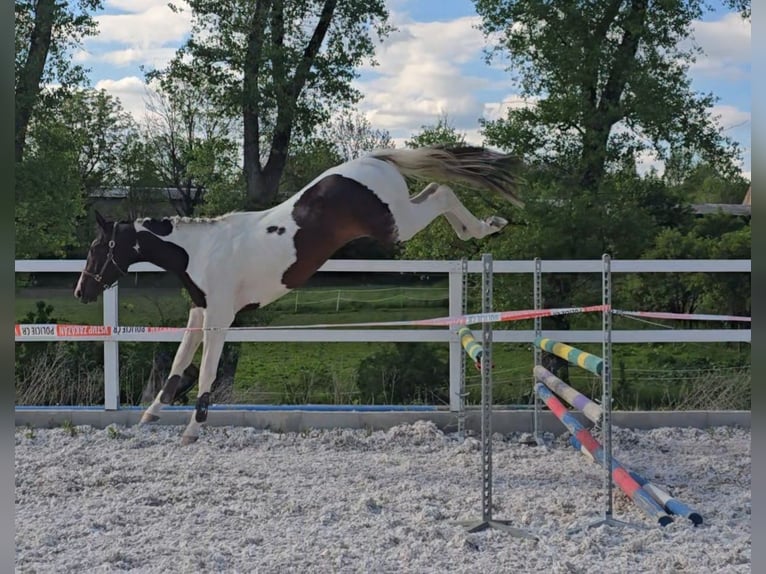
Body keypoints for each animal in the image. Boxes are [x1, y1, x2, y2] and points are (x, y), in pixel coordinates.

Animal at [74, 145, 524, 444]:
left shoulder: (220, 318)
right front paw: (150, 415)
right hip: (400, 218)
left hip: (396, 225)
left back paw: (486, 226)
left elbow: (205, 372)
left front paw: (192, 430)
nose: (82, 290)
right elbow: (178, 365)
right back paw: (484, 226)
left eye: (97, 248)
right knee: (435, 189)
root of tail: (375, 160)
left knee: (441, 192)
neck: (200, 250)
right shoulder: (199, 312)